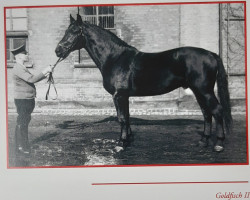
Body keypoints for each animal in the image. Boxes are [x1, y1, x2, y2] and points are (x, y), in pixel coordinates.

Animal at [54, 14, 232, 152]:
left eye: (75, 31)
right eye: (66, 31)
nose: (58, 50)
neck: (115, 57)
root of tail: (211, 54)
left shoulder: (119, 95)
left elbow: (122, 118)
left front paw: (121, 144)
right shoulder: (124, 96)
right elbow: (127, 117)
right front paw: (128, 139)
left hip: (205, 90)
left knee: (217, 111)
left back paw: (219, 144)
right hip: (198, 91)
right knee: (206, 113)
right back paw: (203, 141)